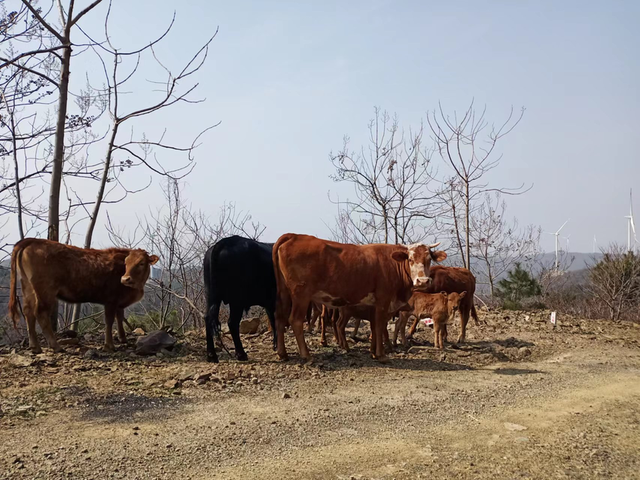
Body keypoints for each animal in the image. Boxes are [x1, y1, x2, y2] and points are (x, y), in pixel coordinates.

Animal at [9, 239, 159, 354]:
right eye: (126, 263)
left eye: (141, 263)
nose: (125, 279)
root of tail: (34, 240)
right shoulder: (110, 300)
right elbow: (110, 321)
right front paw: (109, 346)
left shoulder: (118, 301)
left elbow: (120, 317)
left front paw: (123, 339)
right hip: (46, 291)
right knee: (40, 313)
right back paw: (55, 346)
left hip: (27, 287)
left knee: (28, 311)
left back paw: (35, 346)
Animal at [204, 234, 276, 362]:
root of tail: (226, 241)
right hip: (236, 301)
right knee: (232, 323)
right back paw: (241, 354)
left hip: (211, 296)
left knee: (208, 318)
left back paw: (211, 355)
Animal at [270, 234, 444, 362]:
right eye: (410, 259)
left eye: (429, 259)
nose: (423, 281)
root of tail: (293, 235)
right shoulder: (383, 300)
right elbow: (379, 326)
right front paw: (381, 354)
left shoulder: (374, 305)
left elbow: (375, 327)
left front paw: (373, 352)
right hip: (301, 295)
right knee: (295, 320)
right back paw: (306, 355)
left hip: (283, 293)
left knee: (279, 318)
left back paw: (282, 353)